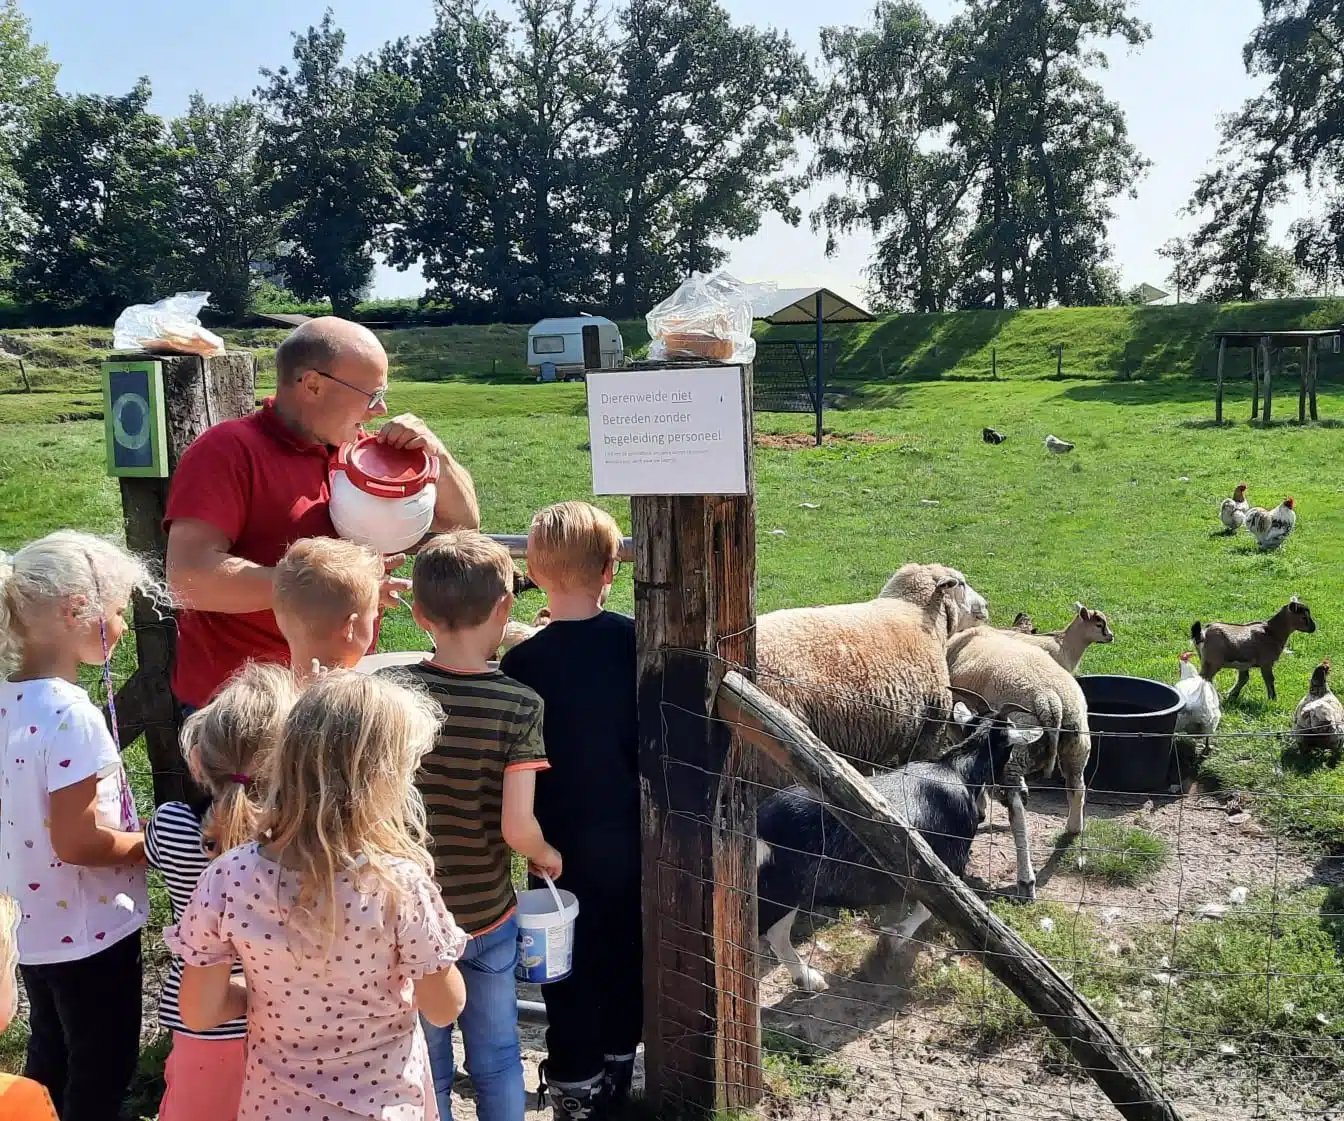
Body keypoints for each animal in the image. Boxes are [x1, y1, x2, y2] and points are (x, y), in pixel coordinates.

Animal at [756, 700, 1043, 992]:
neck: (957, 770)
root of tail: (761, 822)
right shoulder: (949, 860)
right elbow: (927, 910)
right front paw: (893, 940)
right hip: (782, 888)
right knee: (771, 933)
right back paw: (806, 979)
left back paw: (806, 978)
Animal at [945, 627, 1092, 899]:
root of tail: (1050, 700)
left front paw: (980, 808)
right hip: (1077, 744)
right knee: (1077, 787)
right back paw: (1074, 828)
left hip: (1015, 753)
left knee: (1017, 811)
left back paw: (1026, 881)